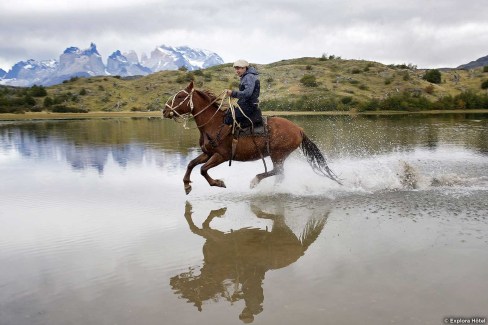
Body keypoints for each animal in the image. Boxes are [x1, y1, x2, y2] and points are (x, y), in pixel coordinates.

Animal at [162, 81, 342, 194]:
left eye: (180, 96)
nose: (164, 110)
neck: (214, 123)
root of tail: (298, 129)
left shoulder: (221, 156)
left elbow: (202, 169)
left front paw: (218, 183)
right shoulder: (208, 153)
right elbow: (192, 164)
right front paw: (187, 185)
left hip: (278, 154)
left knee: (278, 172)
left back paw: (257, 182)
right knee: (279, 174)